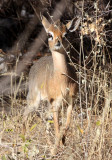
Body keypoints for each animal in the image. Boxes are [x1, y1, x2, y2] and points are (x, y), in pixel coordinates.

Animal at [23, 16, 80, 152]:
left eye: (65, 34)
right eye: (49, 34)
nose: (58, 42)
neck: (62, 81)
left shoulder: (71, 100)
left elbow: (66, 125)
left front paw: (62, 143)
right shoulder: (56, 103)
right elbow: (57, 127)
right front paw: (56, 149)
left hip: (46, 104)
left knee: (44, 117)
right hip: (34, 100)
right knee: (25, 114)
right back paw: (23, 139)